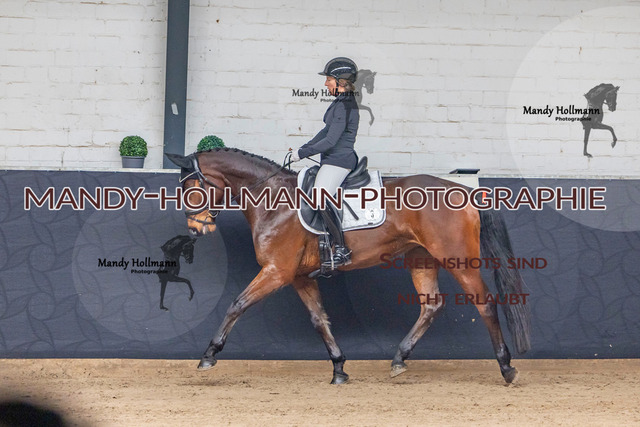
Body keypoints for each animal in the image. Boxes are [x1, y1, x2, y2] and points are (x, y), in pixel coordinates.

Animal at [165, 148, 531, 384]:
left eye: (190, 186)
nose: (196, 229)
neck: (273, 200)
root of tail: (465, 191)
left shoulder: (277, 271)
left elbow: (236, 304)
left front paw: (209, 355)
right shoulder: (299, 277)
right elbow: (319, 320)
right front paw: (339, 368)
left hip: (459, 260)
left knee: (485, 303)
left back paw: (506, 367)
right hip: (421, 259)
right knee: (431, 306)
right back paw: (399, 359)